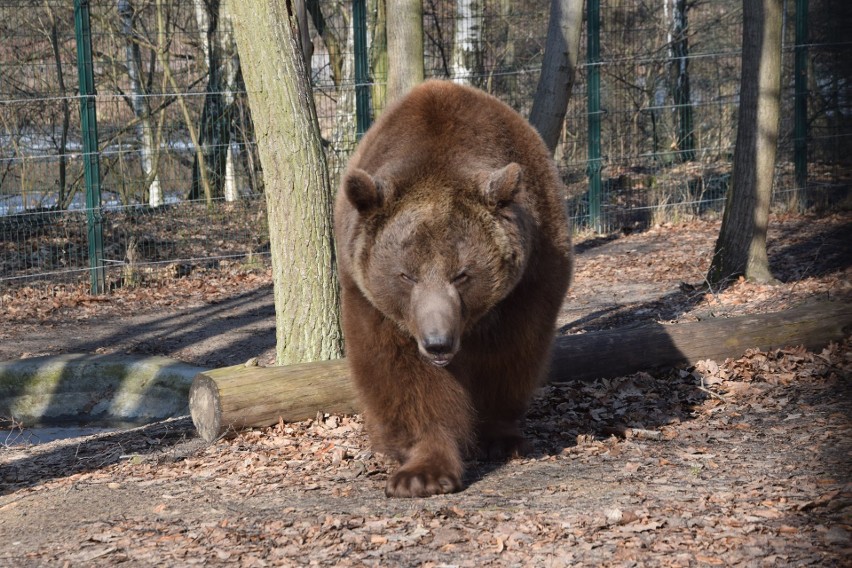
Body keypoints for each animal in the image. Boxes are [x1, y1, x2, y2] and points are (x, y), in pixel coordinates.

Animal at [332, 80, 572, 496]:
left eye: (462, 274)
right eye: (406, 275)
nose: (438, 342)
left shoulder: (528, 281)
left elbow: (510, 357)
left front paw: (500, 437)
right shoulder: (375, 303)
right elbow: (405, 378)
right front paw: (421, 473)